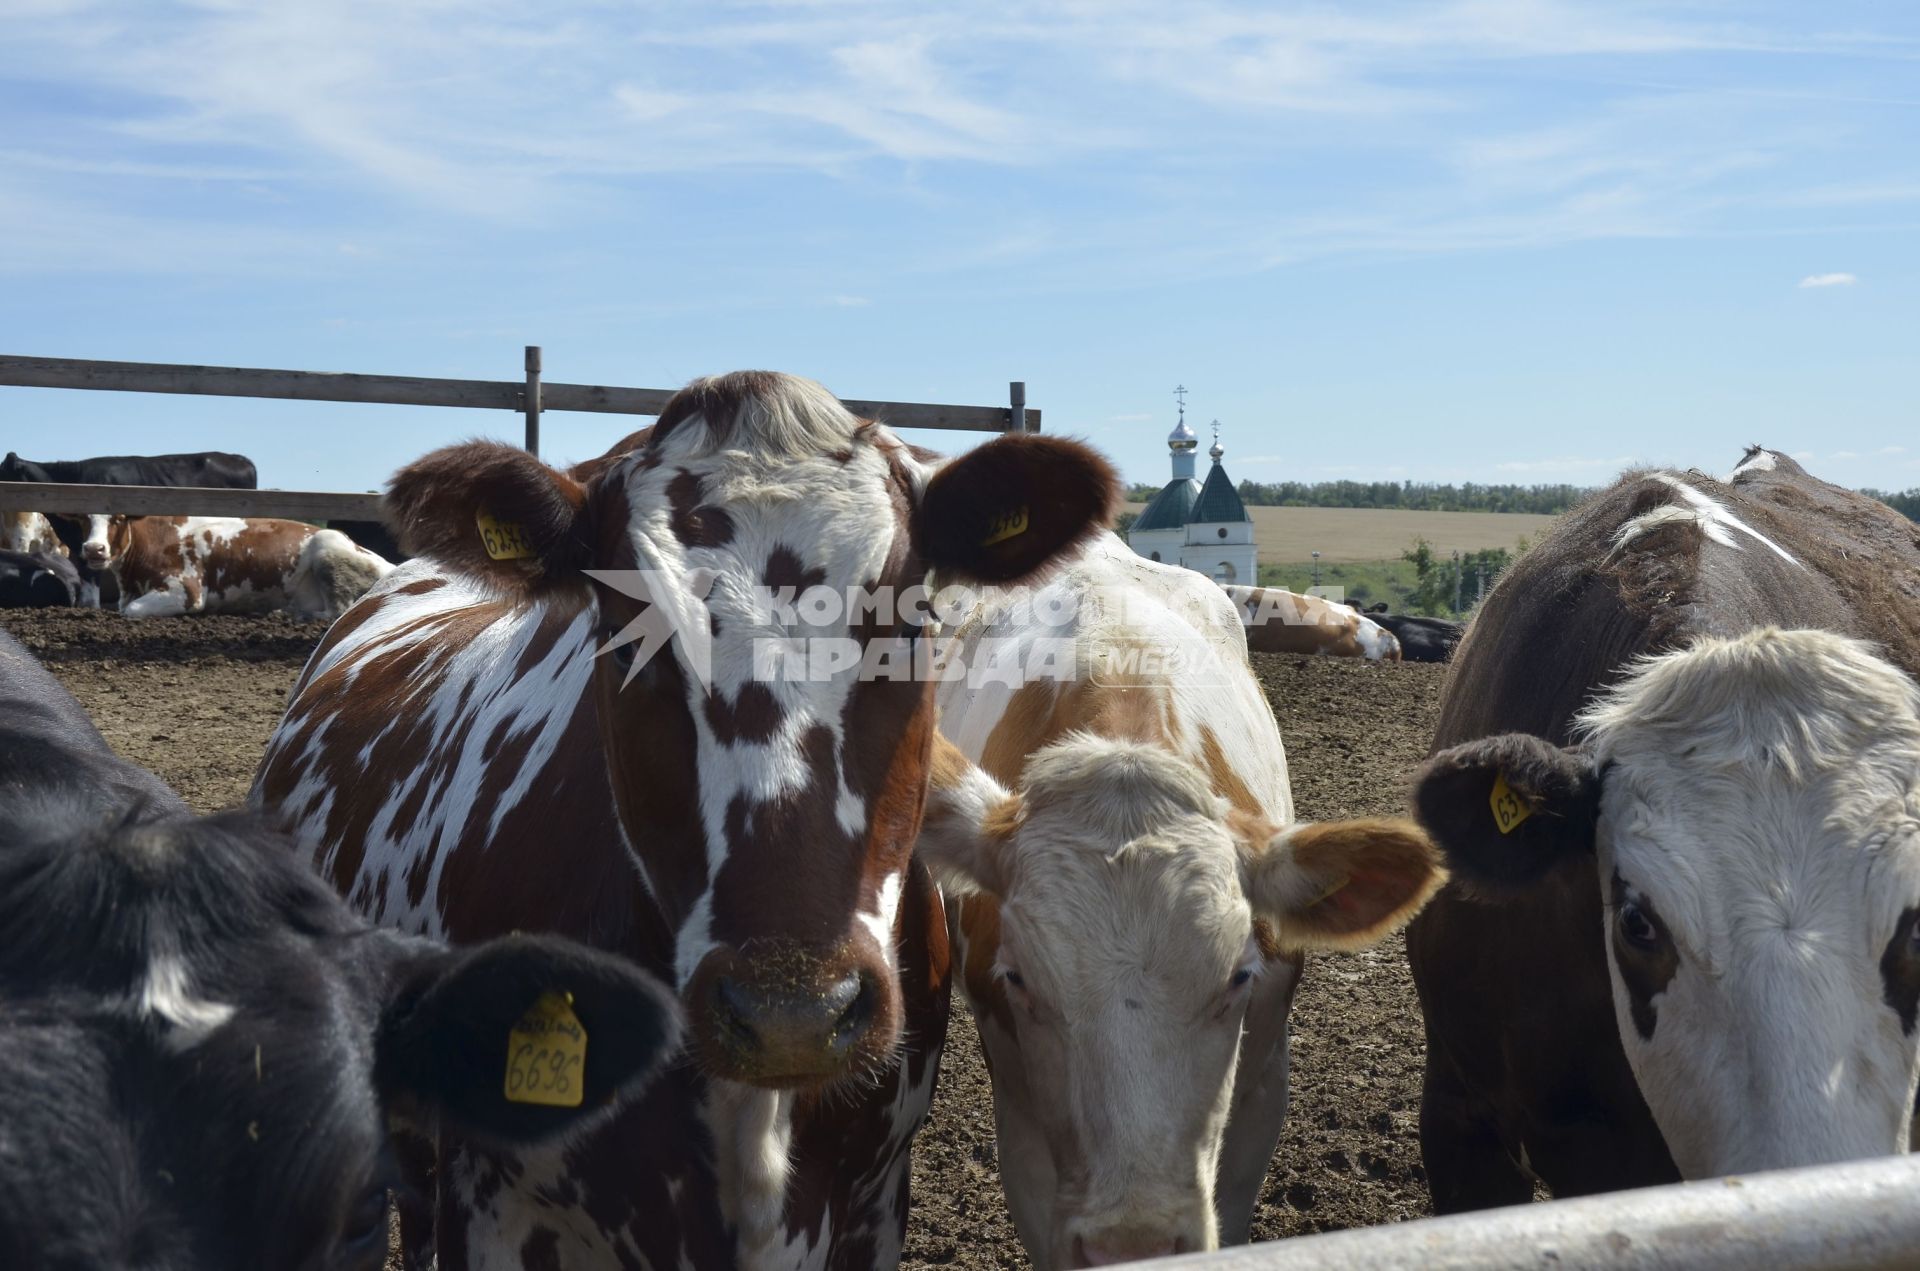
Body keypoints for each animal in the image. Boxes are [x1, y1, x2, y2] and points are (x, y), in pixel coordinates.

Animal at [77, 514, 393, 622]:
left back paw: (293, 614)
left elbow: (131, 610)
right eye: (85, 518)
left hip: (328, 554)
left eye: (118, 519)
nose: (94, 549)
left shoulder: (186, 591)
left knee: (337, 611)